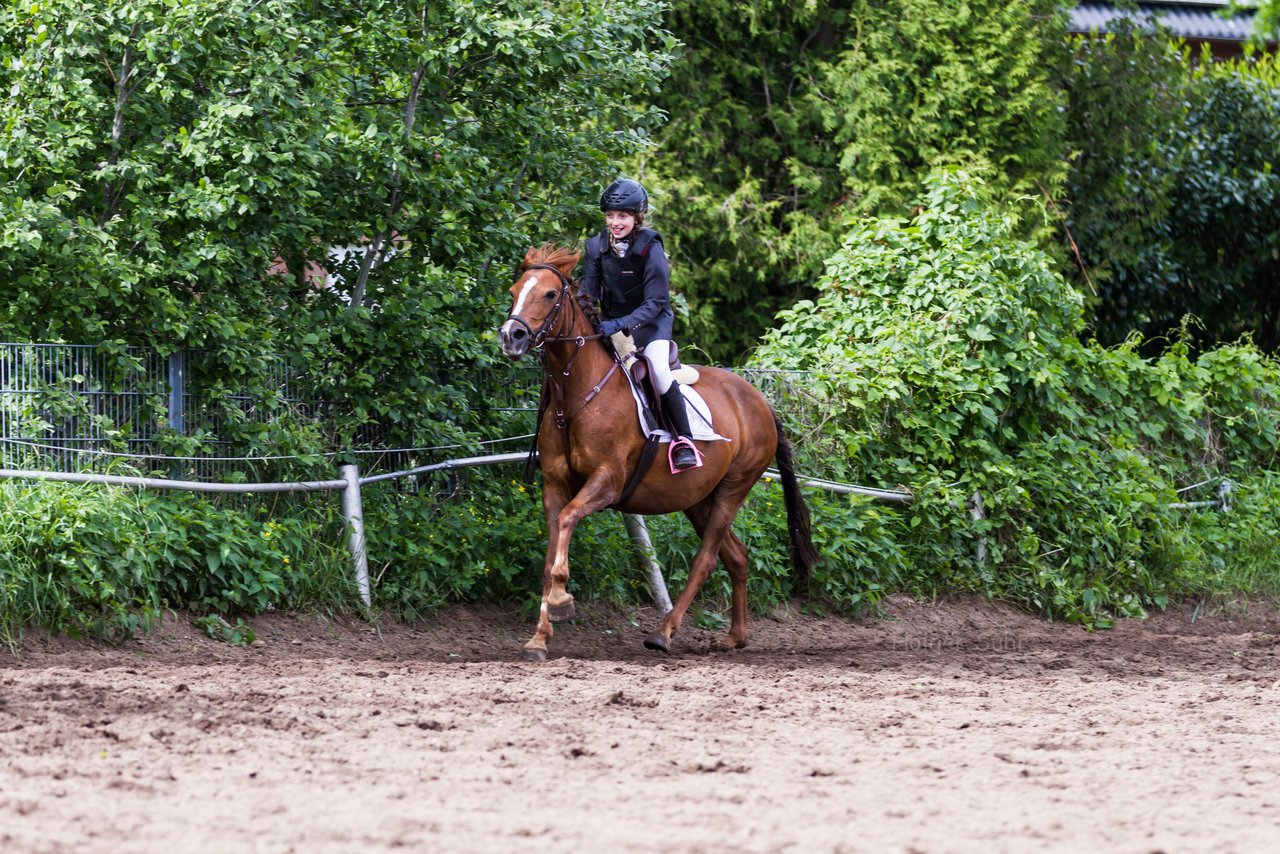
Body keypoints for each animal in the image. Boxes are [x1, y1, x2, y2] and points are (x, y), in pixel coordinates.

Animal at [499, 245, 819, 660]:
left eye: (551, 294)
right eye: (514, 290)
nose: (512, 336)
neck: (576, 399)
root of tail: (759, 401)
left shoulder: (607, 483)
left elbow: (568, 522)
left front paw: (560, 600)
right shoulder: (554, 486)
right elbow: (552, 549)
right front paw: (540, 636)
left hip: (734, 487)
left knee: (706, 559)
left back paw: (664, 632)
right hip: (697, 497)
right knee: (736, 556)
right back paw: (735, 636)